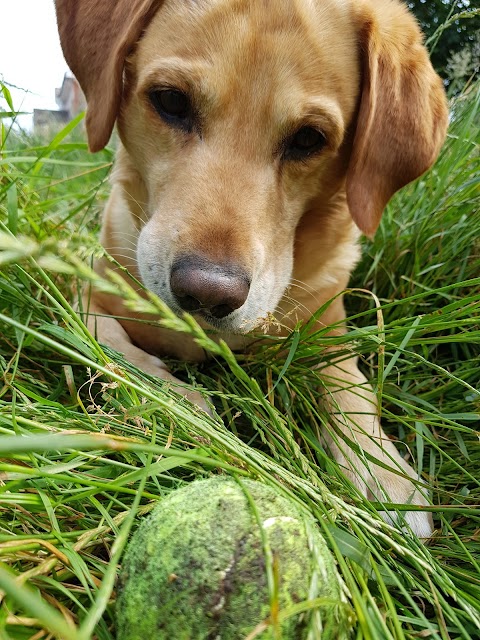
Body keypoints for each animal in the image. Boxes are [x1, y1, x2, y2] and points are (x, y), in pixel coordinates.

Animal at [55, 0, 446, 536]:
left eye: (308, 138)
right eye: (171, 101)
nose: (206, 293)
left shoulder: (327, 325)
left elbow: (350, 384)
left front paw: (380, 469)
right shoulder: (85, 290)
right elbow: (109, 342)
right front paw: (177, 403)